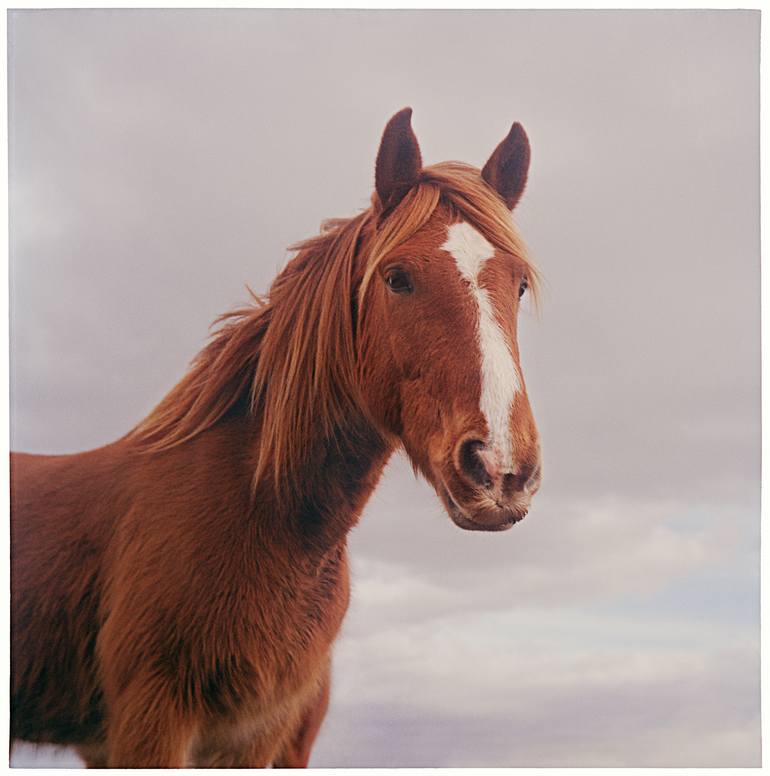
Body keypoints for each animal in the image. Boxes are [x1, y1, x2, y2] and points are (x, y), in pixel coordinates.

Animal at [9, 106, 544, 768]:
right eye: (397, 278)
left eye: (519, 285)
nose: (500, 470)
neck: (257, 518)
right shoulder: (148, 725)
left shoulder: (255, 735)